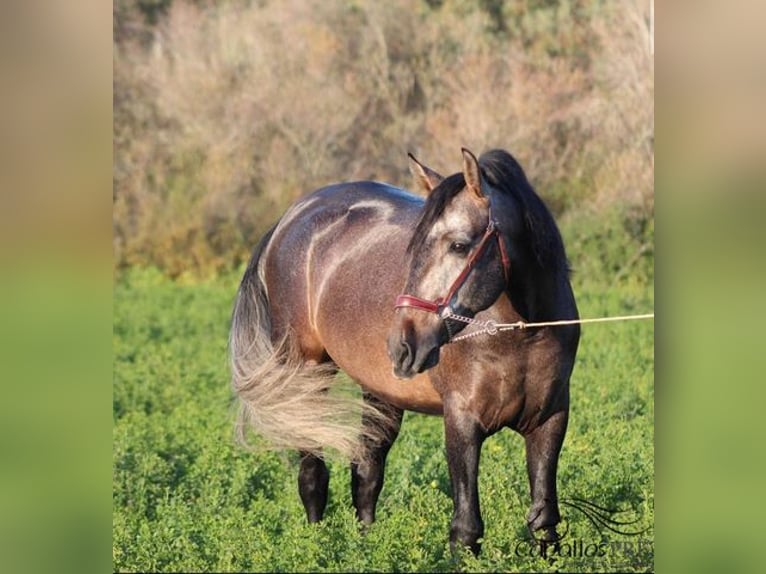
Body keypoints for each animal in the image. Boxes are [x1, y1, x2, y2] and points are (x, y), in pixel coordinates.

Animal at [231, 148, 580, 560]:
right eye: (414, 248)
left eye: (459, 245)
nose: (404, 344)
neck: (523, 332)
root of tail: (291, 217)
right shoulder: (462, 422)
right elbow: (466, 528)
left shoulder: (550, 420)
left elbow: (545, 522)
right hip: (306, 374)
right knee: (313, 474)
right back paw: (317, 548)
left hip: (380, 392)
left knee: (365, 475)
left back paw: (365, 551)